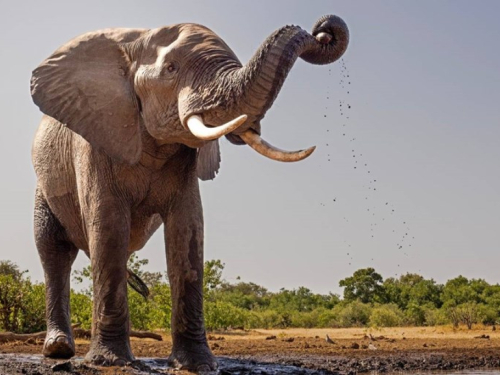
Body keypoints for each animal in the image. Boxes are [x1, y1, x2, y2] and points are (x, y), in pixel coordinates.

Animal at [30, 13, 348, 372]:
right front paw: (111, 362)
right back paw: (58, 349)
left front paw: (197, 365)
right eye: (171, 68)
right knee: (54, 250)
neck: (135, 42)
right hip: (44, 184)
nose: (323, 32)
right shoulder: (96, 138)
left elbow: (187, 229)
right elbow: (109, 225)